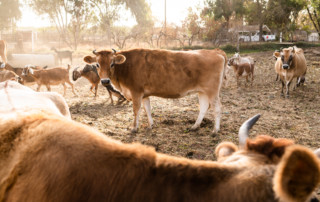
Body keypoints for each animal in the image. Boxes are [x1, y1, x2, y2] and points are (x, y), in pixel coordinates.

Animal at [84, 48, 226, 133]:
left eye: (112, 64)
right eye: (97, 64)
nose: (105, 81)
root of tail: (215, 51)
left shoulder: (136, 92)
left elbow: (136, 110)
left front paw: (134, 128)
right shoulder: (144, 94)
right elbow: (147, 109)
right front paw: (150, 125)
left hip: (212, 91)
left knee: (217, 107)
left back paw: (215, 130)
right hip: (202, 92)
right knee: (204, 107)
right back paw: (195, 126)